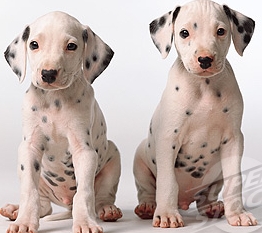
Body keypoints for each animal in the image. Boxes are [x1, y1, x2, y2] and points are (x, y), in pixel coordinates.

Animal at [0, 11, 122, 233]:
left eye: (71, 46)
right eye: (34, 44)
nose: (48, 74)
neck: (54, 100)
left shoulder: (84, 151)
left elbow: (84, 192)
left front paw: (85, 222)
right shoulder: (29, 148)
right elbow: (29, 190)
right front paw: (24, 221)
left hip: (113, 157)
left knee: (101, 196)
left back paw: (107, 209)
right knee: (44, 206)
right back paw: (14, 210)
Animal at [134, 0, 256, 228]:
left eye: (220, 31)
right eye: (184, 33)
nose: (205, 59)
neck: (204, 86)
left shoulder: (234, 140)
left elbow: (235, 181)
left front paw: (238, 213)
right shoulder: (169, 138)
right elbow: (167, 182)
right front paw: (167, 214)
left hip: (216, 174)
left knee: (207, 196)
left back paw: (212, 206)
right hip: (140, 162)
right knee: (146, 189)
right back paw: (147, 207)